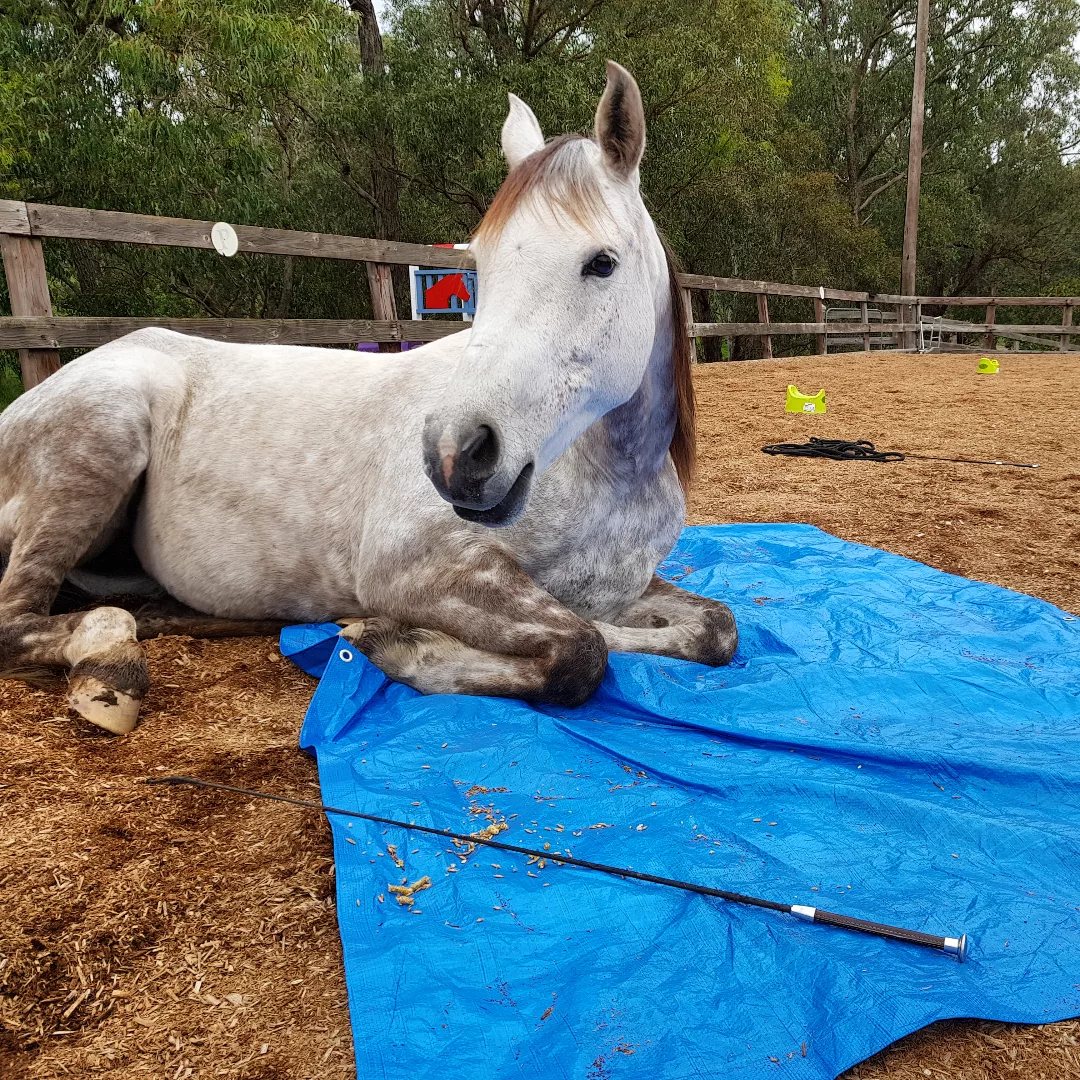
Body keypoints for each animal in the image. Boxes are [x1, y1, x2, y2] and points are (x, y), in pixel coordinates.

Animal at [0, 61, 737, 736]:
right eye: (478, 267)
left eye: (602, 263)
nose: (456, 453)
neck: (609, 474)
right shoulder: (416, 570)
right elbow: (579, 651)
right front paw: (399, 641)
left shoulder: (622, 588)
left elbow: (716, 629)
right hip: (98, 445)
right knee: (20, 619)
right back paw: (110, 668)